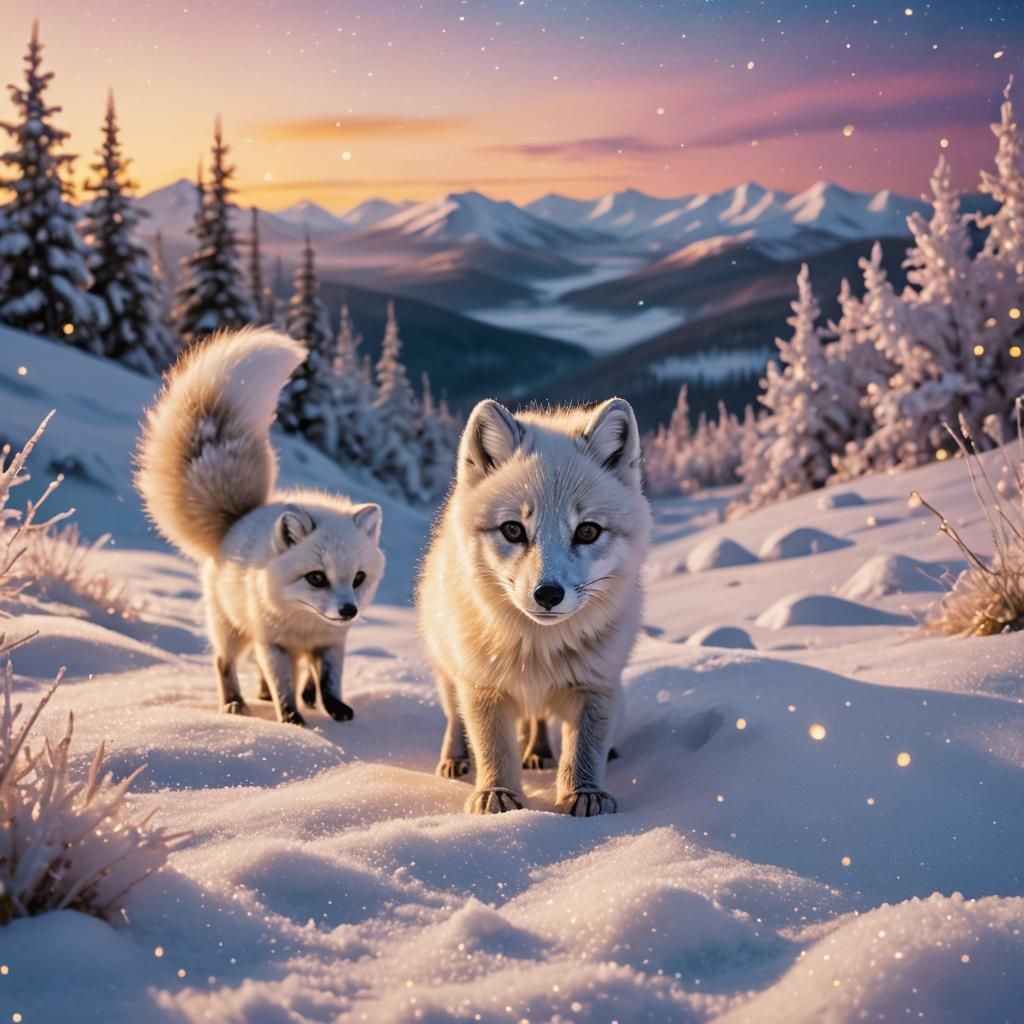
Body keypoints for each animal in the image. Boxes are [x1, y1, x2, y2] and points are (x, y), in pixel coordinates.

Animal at [135, 328, 385, 727]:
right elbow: (284, 685)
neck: (304, 625)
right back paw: (235, 703)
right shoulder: (274, 645)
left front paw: (333, 707)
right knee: (224, 662)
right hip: (233, 631)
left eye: (358, 578)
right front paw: (291, 718)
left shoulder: (330, 644)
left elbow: (329, 680)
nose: (349, 611)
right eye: (317, 577)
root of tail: (239, 519)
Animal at [417, 397, 651, 816]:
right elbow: (494, 748)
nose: (548, 594)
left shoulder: (596, 684)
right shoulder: (483, 686)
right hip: (449, 675)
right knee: (455, 720)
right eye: (513, 529)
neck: (536, 649)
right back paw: (456, 759)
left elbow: (584, 750)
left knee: (539, 721)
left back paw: (540, 753)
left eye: (587, 531)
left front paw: (584, 795)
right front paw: (497, 794)